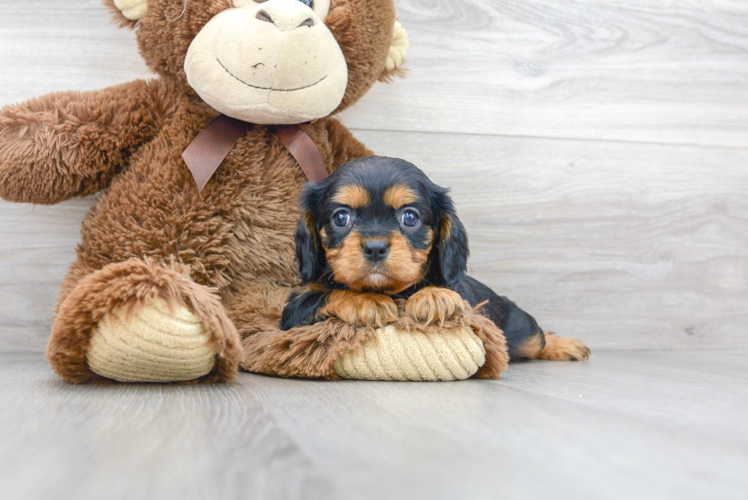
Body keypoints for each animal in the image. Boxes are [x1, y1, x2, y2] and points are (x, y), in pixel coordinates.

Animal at [280, 154, 592, 362]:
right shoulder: (293, 315)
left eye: (410, 217)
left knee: (537, 340)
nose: (375, 247)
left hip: (520, 329)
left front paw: (434, 296)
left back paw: (564, 344)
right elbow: (323, 294)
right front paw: (365, 301)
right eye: (341, 217)